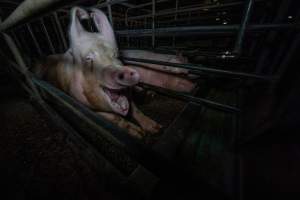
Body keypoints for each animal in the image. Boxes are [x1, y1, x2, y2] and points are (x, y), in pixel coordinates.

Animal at [33, 7, 162, 138]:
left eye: (116, 54)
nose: (126, 72)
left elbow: (135, 109)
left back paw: (149, 94)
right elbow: (115, 118)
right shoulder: (84, 104)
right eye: (88, 59)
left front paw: (156, 129)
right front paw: (139, 134)